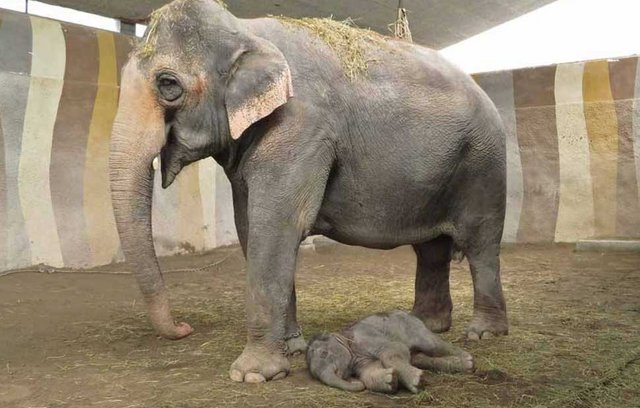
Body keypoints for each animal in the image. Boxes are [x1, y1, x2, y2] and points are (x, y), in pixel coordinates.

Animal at [111, 0, 510, 382]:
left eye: (168, 85)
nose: (184, 327)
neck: (244, 29)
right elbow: (250, 228)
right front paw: (291, 348)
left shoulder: (301, 127)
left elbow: (277, 227)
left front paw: (252, 374)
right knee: (431, 250)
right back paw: (427, 324)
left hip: (484, 162)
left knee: (480, 243)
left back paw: (484, 333)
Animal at [304, 310, 476, 394]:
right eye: (314, 375)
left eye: (324, 353)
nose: (354, 381)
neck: (343, 336)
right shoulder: (359, 360)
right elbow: (369, 372)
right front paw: (390, 381)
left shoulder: (366, 337)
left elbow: (394, 349)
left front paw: (418, 381)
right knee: (419, 358)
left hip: (413, 327)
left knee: (433, 345)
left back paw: (468, 361)